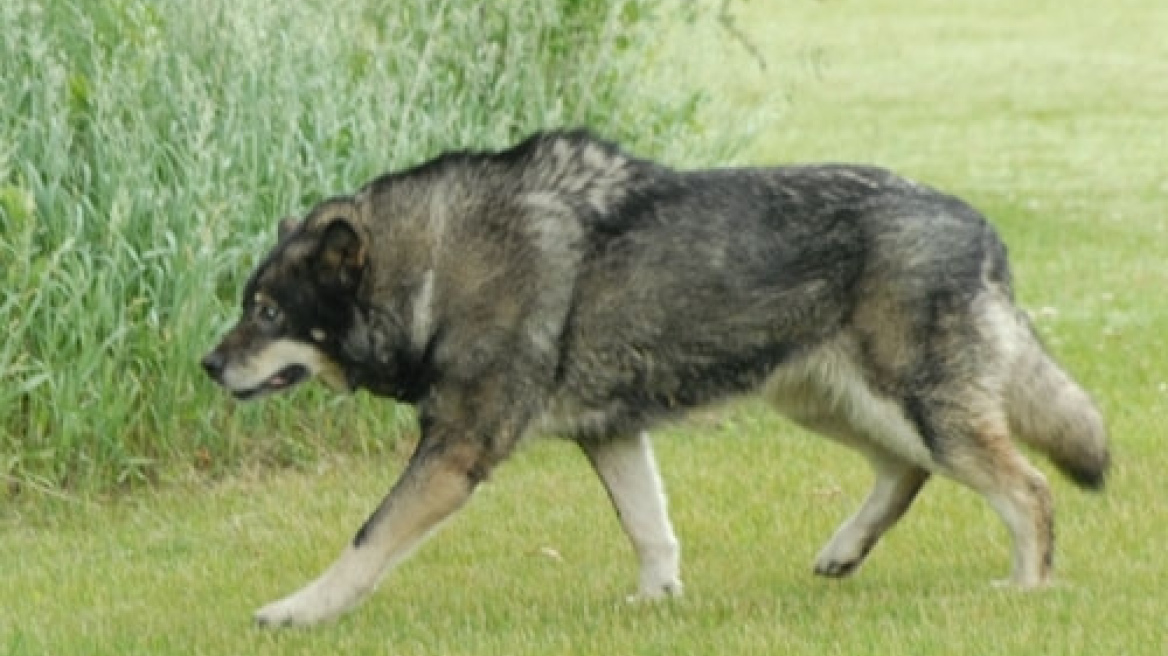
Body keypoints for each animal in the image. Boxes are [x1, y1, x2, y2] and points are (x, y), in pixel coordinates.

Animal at [203, 127, 1111, 620]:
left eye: (270, 313)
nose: (208, 364)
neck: (434, 264)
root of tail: (982, 227)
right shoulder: (612, 436)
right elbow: (650, 529)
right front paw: (656, 604)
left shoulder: (458, 451)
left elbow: (366, 541)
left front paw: (297, 611)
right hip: (832, 403)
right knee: (907, 472)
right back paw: (845, 552)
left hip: (919, 408)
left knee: (1028, 490)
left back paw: (1028, 590)